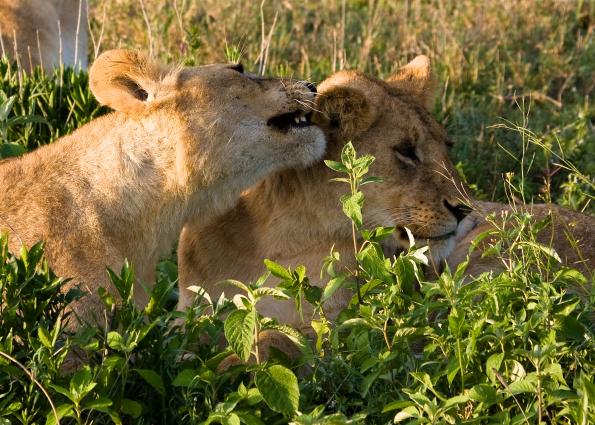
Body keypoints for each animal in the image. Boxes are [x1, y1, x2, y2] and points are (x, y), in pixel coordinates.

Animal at [177, 53, 470, 332]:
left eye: (447, 145)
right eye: (406, 150)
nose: (465, 209)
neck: (273, 236)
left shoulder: (326, 320)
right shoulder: (187, 313)